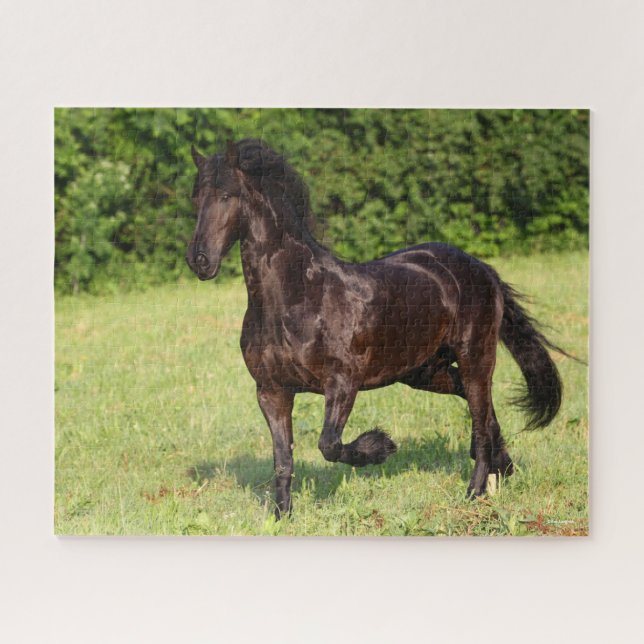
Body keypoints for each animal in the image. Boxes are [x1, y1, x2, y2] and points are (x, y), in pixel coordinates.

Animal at [186, 138, 566, 518]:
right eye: (197, 197)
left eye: (226, 196)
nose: (199, 261)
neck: (296, 297)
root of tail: (481, 268)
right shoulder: (271, 391)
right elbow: (283, 461)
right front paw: (281, 517)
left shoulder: (343, 383)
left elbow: (329, 444)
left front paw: (381, 446)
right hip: (424, 372)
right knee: (479, 409)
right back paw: (502, 468)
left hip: (476, 357)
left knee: (479, 410)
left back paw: (474, 491)